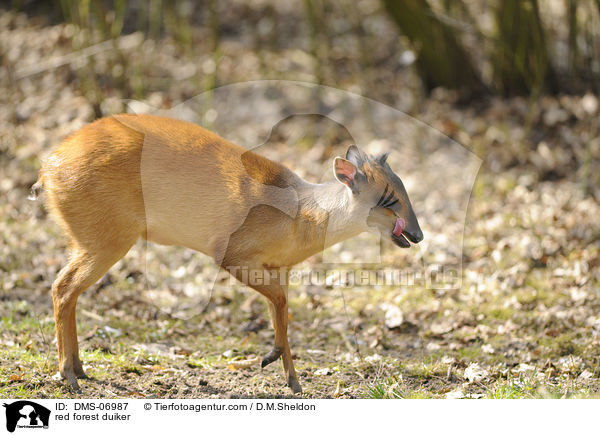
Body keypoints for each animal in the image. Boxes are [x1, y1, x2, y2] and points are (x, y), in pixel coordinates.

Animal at [36, 112, 422, 396]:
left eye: (404, 187)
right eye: (387, 199)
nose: (417, 235)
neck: (301, 216)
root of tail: (47, 169)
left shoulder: (280, 267)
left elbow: (282, 313)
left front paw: (292, 380)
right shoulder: (232, 254)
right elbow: (280, 303)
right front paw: (271, 359)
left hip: (88, 240)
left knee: (65, 290)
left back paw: (79, 369)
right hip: (107, 238)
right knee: (62, 288)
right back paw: (67, 374)